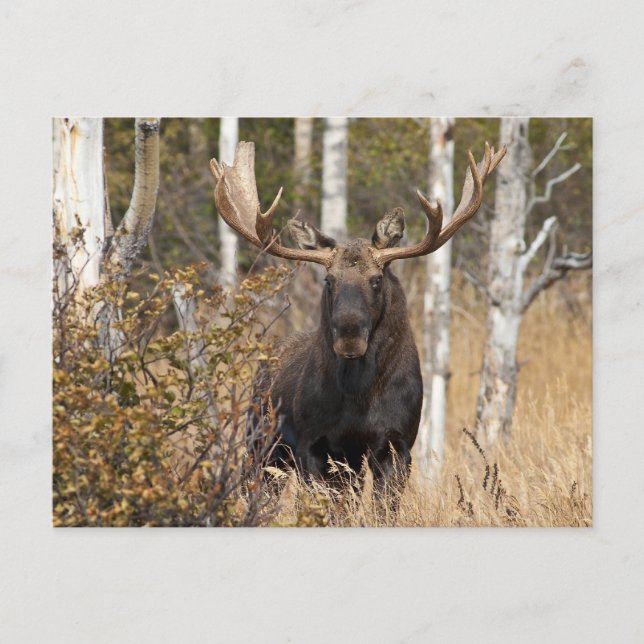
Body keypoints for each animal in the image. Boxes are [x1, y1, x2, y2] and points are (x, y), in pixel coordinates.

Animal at [210, 140, 505, 502]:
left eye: (376, 279)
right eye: (329, 280)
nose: (349, 336)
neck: (359, 399)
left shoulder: (398, 444)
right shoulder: (316, 446)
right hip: (262, 443)